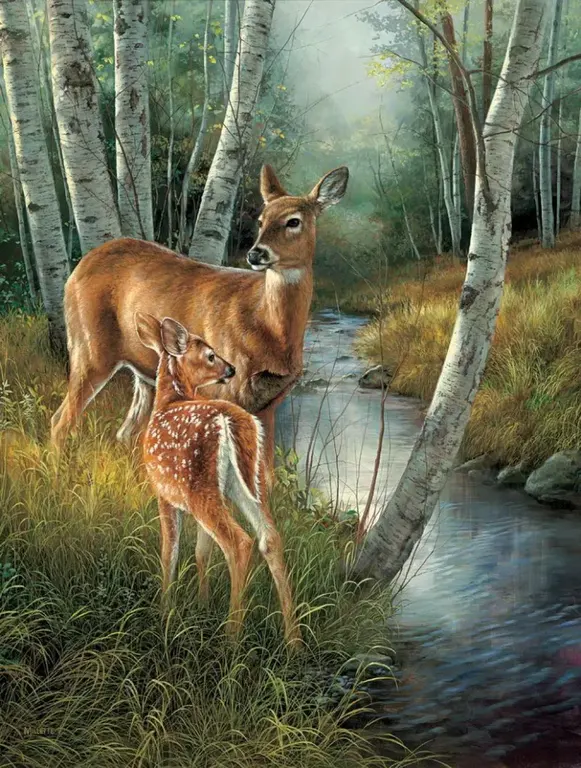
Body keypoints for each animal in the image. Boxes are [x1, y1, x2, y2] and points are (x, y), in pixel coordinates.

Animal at [50, 164, 349, 477]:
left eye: (294, 221)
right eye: (261, 220)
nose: (256, 253)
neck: (269, 327)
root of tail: (78, 269)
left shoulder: (268, 403)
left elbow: (265, 473)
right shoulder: (223, 391)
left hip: (143, 373)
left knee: (126, 433)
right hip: (89, 349)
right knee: (60, 420)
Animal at [135, 311, 301, 647]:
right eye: (210, 355)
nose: (231, 369)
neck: (167, 402)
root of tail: (232, 420)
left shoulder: (164, 493)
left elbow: (170, 551)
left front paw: (165, 610)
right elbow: (201, 552)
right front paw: (202, 603)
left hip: (200, 487)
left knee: (239, 543)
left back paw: (231, 637)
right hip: (247, 484)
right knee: (270, 538)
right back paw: (293, 640)